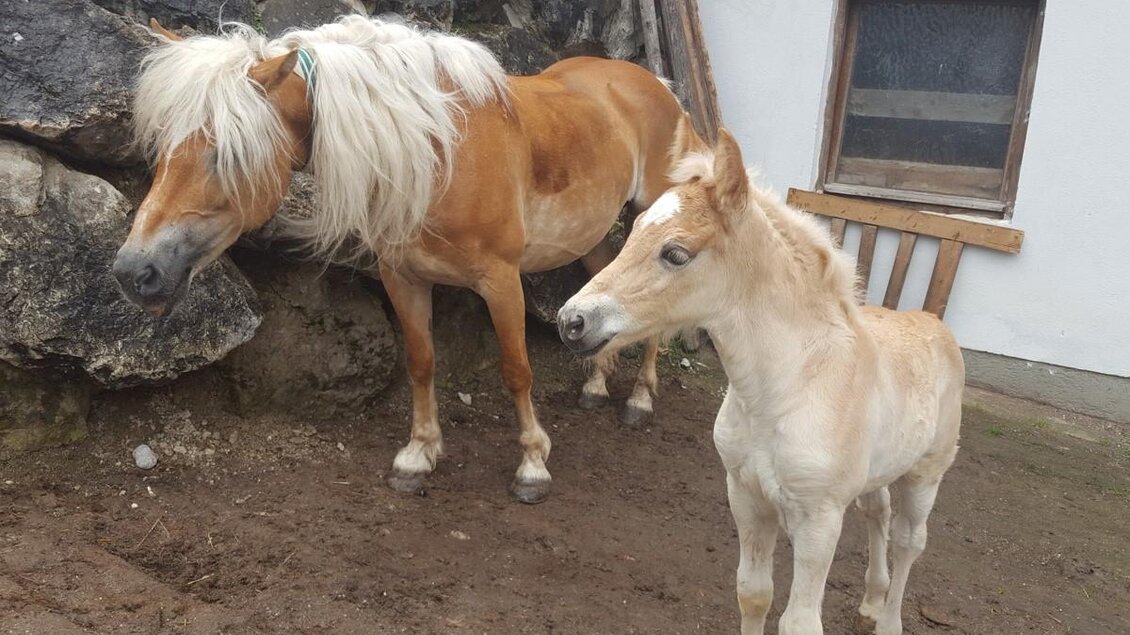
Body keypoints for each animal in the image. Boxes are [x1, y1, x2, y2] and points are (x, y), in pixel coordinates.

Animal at [112, 16, 692, 504]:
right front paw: (417, 457)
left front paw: (533, 466)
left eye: (225, 155)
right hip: (593, 237)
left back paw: (639, 400)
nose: (134, 272)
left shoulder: (501, 281)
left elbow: (516, 370)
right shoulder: (403, 279)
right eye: (163, 146)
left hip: (653, 215)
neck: (438, 154)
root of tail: (658, 84)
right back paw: (596, 385)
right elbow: (420, 362)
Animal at [558, 126, 964, 634]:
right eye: (632, 232)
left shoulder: (818, 520)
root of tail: (934, 323)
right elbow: (753, 594)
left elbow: (799, 622)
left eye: (675, 253)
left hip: (927, 473)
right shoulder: (746, 497)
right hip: (881, 471)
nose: (570, 321)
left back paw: (888, 620)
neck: (784, 391)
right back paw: (871, 602)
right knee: (878, 513)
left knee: (910, 540)